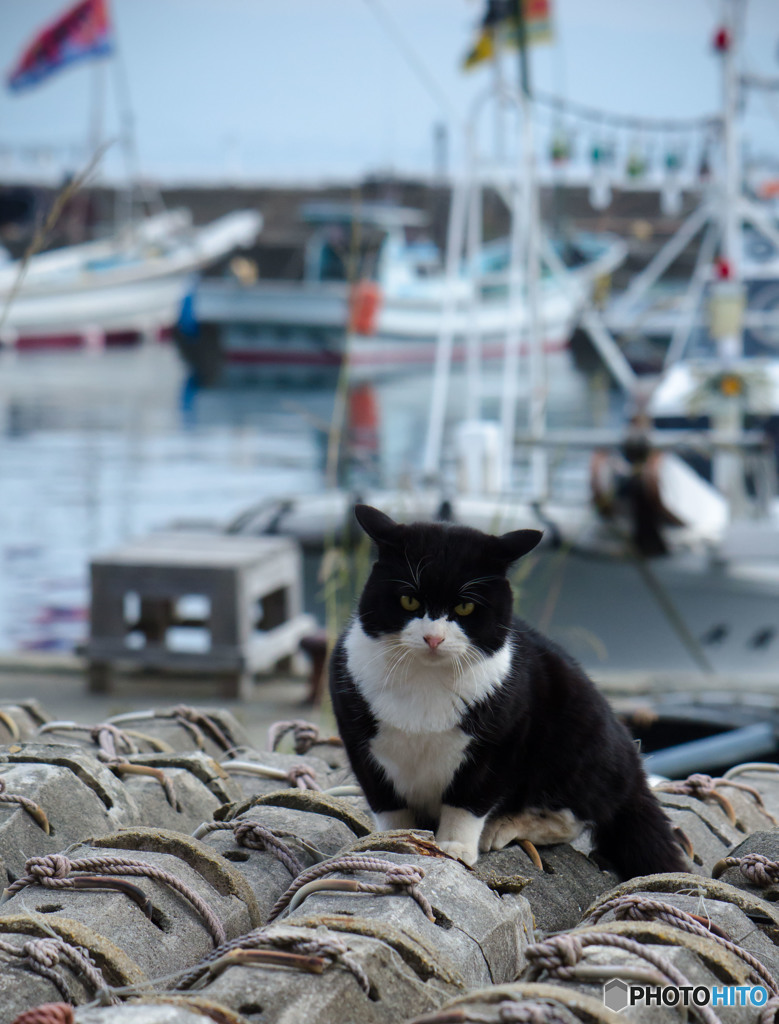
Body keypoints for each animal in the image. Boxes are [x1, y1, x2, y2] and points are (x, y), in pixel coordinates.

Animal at [331, 503, 683, 880]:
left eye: (465, 607)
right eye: (409, 600)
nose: (433, 638)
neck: (426, 681)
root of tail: (634, 770)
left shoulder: (502, 740)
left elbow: (468, 800)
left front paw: (455, 846)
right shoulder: (359, 742)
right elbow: (388, 805)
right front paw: (392, 839)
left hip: (576, 739)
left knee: (573, 815)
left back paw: (503, 826)